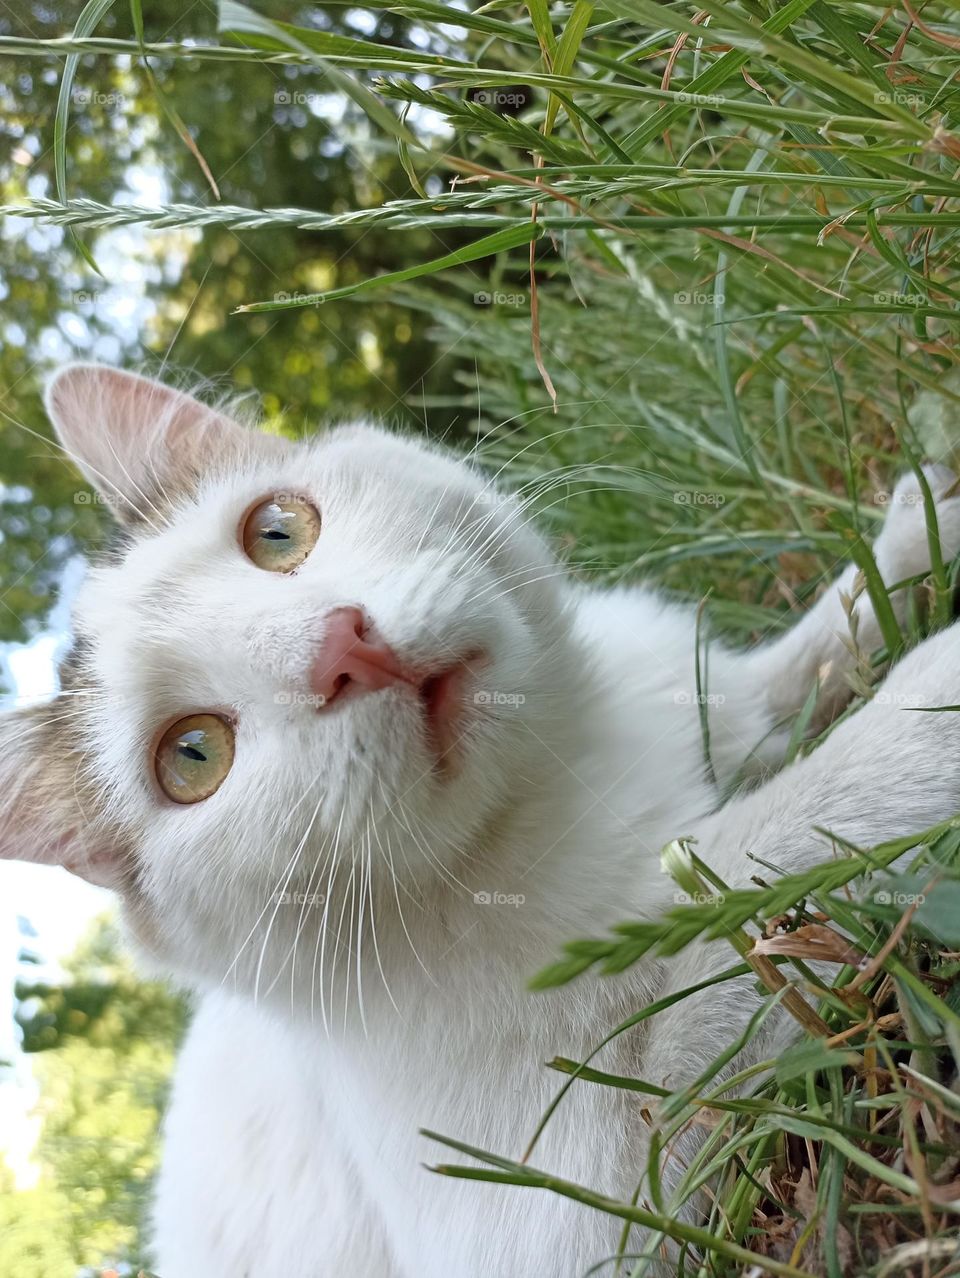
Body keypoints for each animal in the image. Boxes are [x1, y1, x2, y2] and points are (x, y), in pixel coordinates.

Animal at [1, 362, 960, 1278]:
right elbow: (753, 873)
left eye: (276, 532)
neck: (555, 776)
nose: (343, 648)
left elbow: (796, 667)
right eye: (192, 757)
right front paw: (922, 706)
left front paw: (919, 526)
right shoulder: (569, 1202)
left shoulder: (704, 696)